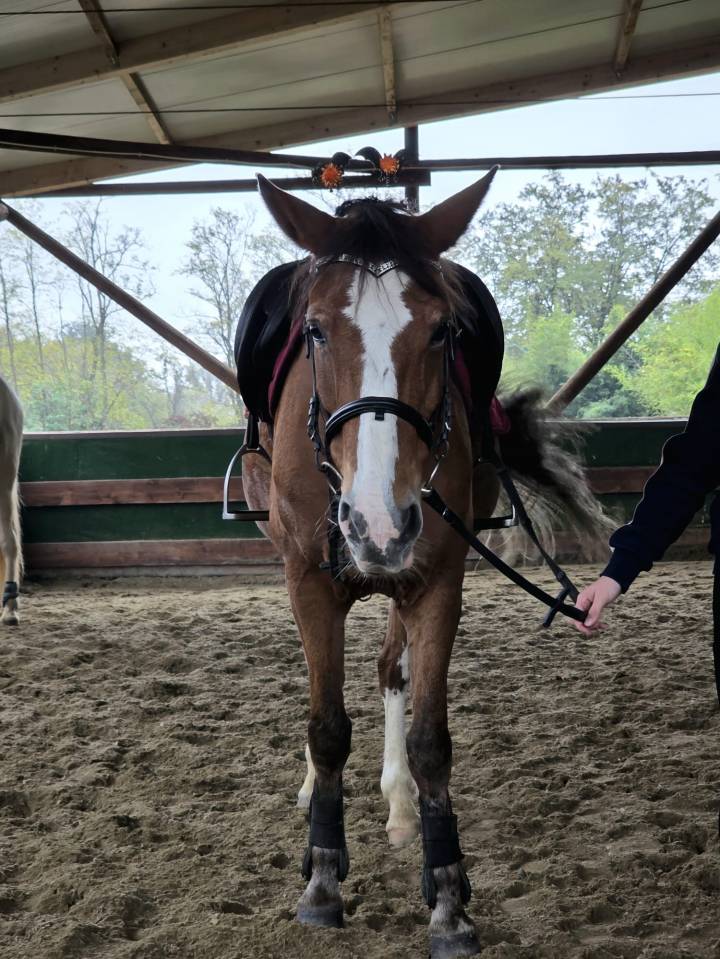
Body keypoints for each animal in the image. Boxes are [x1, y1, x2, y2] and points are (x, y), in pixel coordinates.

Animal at [241, 171, 606, 958]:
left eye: (443, 330)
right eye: (314, 330)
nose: (378, 522)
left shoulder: (436, 581)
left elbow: (430, 738)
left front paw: (447, 898)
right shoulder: (308, 581)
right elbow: (326, 724)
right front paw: (321, 879)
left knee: (389, 671)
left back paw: (400, 804)